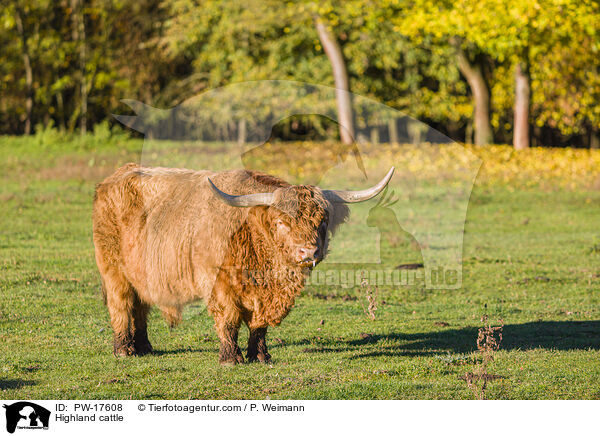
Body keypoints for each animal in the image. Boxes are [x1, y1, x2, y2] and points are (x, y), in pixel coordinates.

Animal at [94, 164, 394, 364]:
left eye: (321, 221)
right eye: (281, 222)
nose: (308, 251)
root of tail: (116, 176)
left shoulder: (263, 295)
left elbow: (258, 324)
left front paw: (260, 355)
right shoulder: (219, 285)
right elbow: (228, 319)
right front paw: (231, 357)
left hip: (140, 274)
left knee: (140, 306)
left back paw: (144, 346)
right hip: (113, 269)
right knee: (121, 305)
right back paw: (124, 350)